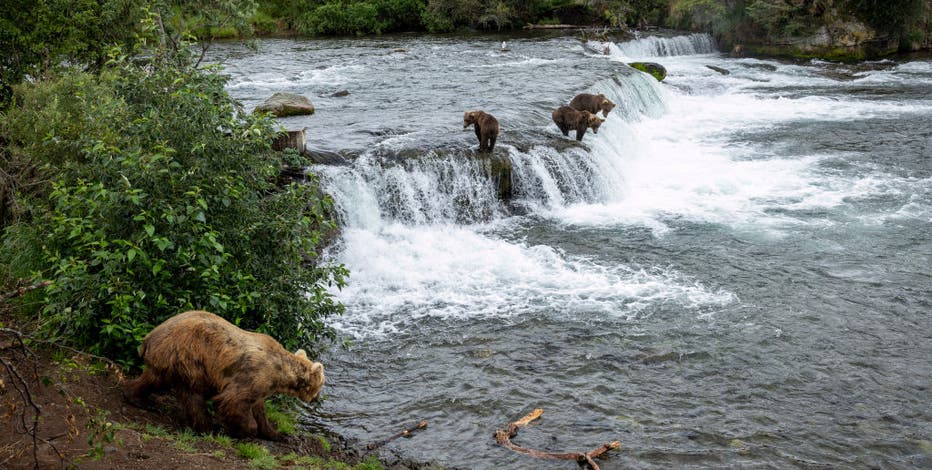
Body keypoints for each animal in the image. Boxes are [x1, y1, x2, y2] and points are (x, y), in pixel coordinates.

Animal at [123, 310, 325, 440]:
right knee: (193, 394)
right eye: (321, 384)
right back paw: (207, 427)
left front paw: (277, 434)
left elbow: (259, 409)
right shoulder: (254, 374)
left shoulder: (262, 385)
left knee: (154, 379)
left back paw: (136, 397)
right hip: (191, 356)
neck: (281, 374)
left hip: (170, 360)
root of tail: (149, 337)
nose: (317, 399)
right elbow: (233, 400)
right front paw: (247, 431)